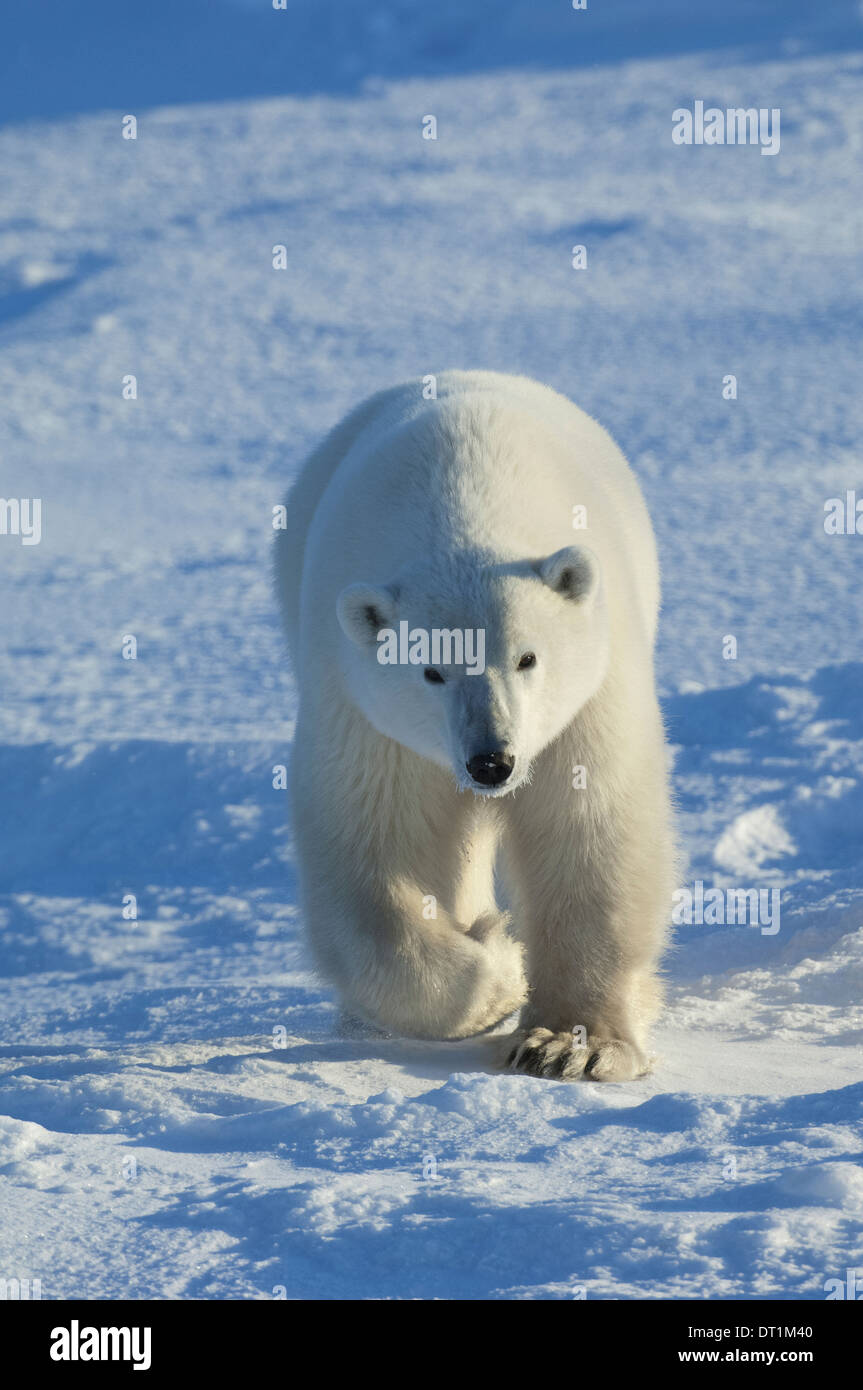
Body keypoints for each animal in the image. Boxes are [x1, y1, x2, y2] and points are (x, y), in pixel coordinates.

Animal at [273, 375, 672, 1078]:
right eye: (432, 670)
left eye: (528, 657)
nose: (492, 762)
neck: (462, 509)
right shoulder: (363, 710)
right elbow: (374, 855)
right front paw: (500, 964)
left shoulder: (590, 693)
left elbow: (589, 830)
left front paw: (570, 1046)